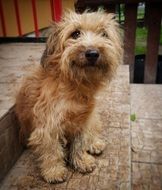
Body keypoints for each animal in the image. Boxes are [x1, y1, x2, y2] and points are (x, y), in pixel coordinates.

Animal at [15, 11, 123, 183]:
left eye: (104, 34)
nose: (92, 53)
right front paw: (54, 171)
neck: (74, 85)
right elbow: (52, 150)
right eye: (75, 34)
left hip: (93, 117)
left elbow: (79, 144)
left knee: (92, 132)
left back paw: (94, 144)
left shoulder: (83, 121)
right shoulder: (49, 125)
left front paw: (81, 161)